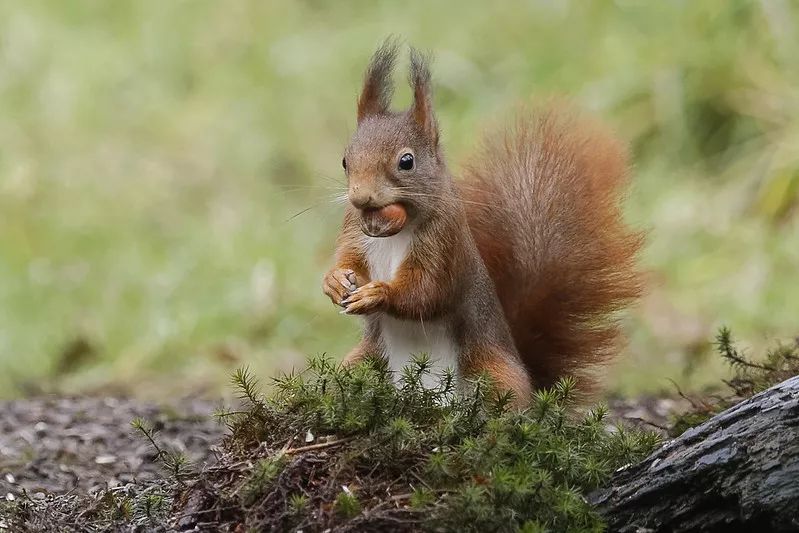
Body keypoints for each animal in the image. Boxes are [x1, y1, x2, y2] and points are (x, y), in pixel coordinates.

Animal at [322, 40, 640, 404]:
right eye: (345, 161)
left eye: (407, 161)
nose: (361, 197)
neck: (394, 231)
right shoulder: (355, 230)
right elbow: (350, 260)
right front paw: (334, 281)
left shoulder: (444, 244)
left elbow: (426, 292)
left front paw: (378, 293)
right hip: (364, 360)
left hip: (493, 372)